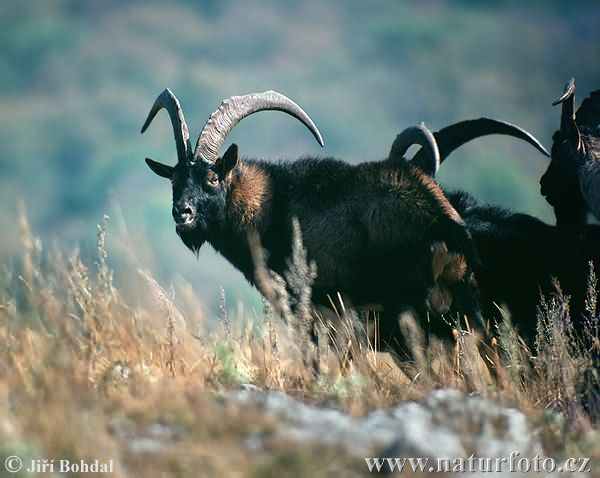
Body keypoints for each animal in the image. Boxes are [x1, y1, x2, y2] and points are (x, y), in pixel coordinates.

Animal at [143, 89, 486, 358]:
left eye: (213, 178)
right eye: (174, 179)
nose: (182, 212)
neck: (272, 204)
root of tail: (442, 223)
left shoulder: (311, 309)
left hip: (408, 309)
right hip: (464, 307)